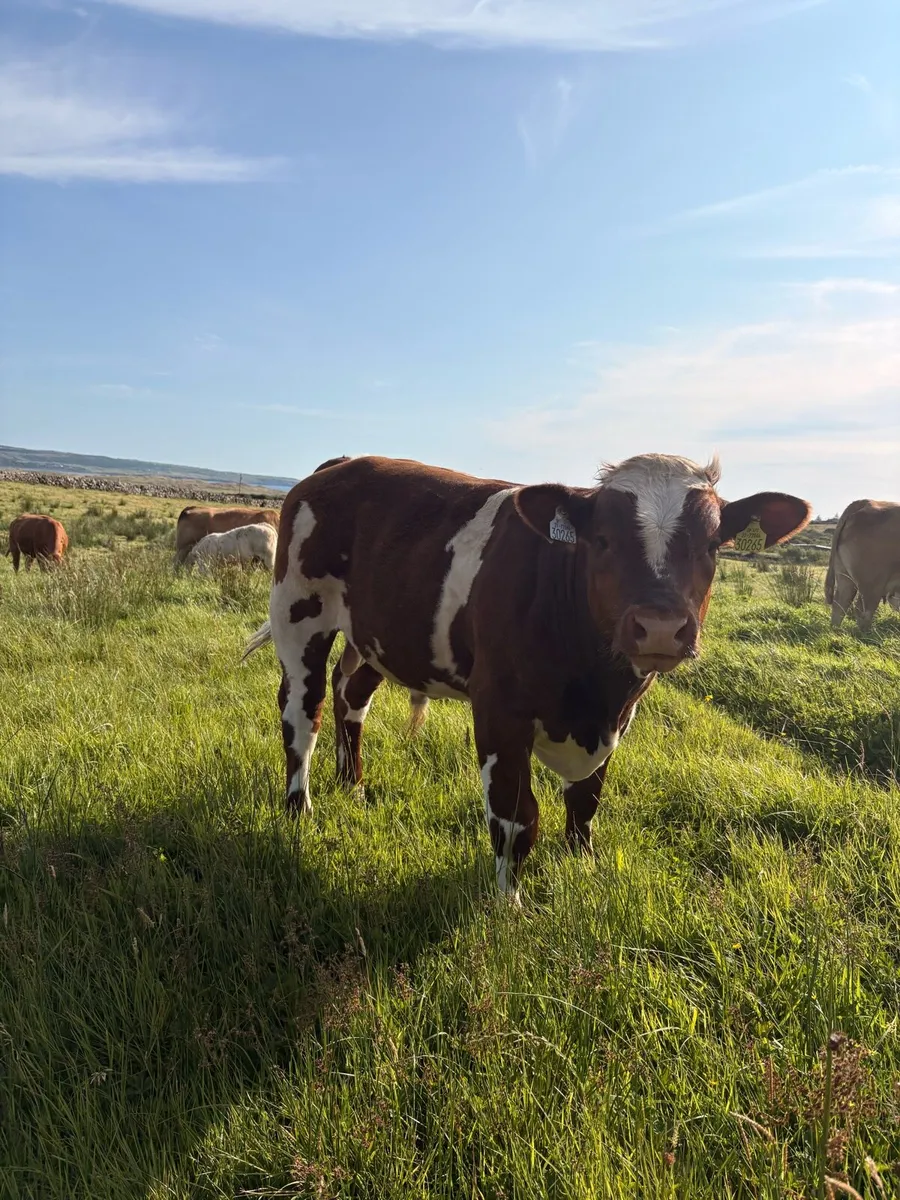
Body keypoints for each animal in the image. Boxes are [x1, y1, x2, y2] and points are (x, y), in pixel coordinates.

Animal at [244, 454, 811, 898]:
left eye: (713, 544)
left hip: (376, 637)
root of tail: (340, 464)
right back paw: (299, 810)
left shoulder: (617, 718)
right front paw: (508, 905)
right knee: (303, 711)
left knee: (350, 696)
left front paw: (584, 868)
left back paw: (353, 786)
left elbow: (585, 802)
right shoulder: (499, 711)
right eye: (601, 540)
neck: (595, 689)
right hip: (299, 615)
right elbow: (517, 815)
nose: (659, 627)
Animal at [825, 499, 900, 630]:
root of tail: (867, 502)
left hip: (844, 576)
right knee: (863, 610)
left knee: (840, 604)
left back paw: (835, 631)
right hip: (872, 582)